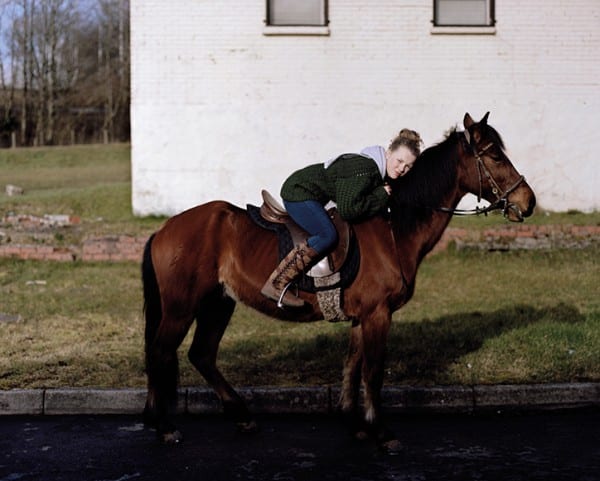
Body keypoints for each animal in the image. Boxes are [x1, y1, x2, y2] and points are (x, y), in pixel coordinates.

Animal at [143, 111, 536, 450]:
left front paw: (356, 425)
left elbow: (352, 366)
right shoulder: (378, 314)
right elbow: (373, 372)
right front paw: (382, 432)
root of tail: (165, 229)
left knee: (201, 354)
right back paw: (164, 426)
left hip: (218, 303)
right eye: (495, 155)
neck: (393, 230)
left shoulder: (362, 317)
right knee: (161, 351)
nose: (527, 200)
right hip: (182, 307)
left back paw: (240, 416)